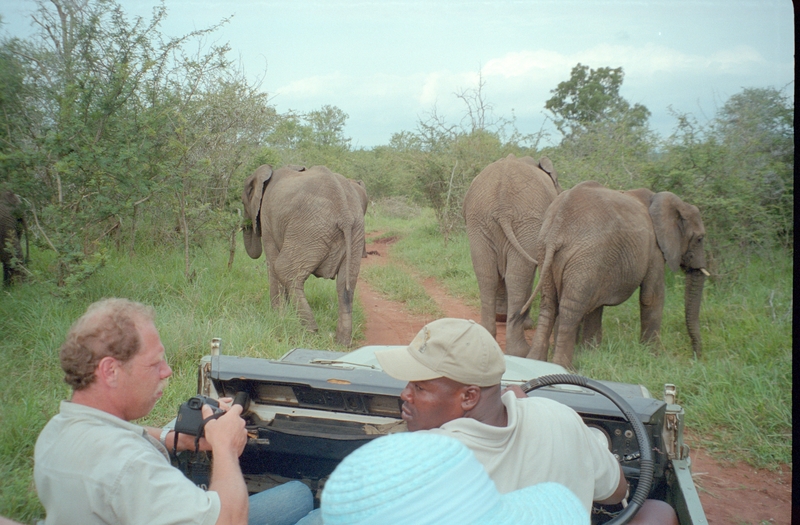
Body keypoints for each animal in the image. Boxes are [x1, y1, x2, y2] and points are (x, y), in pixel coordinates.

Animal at [242, 164, 368, 344]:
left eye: (243, 202)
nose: (246, 225)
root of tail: (344, 214)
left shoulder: (267, 218)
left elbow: (272, 263)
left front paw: (278, 316)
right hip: (355, 231)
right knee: (345, 285)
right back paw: (342, 341)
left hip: (309, 230)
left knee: (284, 269)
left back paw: (310, 330)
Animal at [462, 152, 564, 356]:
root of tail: (502, 206)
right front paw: (525, 323)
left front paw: (502, 316)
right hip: (525, 221)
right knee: (518, 276)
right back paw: (520, 351)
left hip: (480, 221)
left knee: (487, 274)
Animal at [528, 180, 708, 368]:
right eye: (700, 238)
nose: (695, 357)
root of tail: (557, 229)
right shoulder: (654, 249)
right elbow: (651, 297)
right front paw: (653, 357)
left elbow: (596, 305)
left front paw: (590, 355)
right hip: (586, 256)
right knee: (570, 309)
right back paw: (562, 366)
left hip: (549, 252)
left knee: (550, 304)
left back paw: (536, 361)